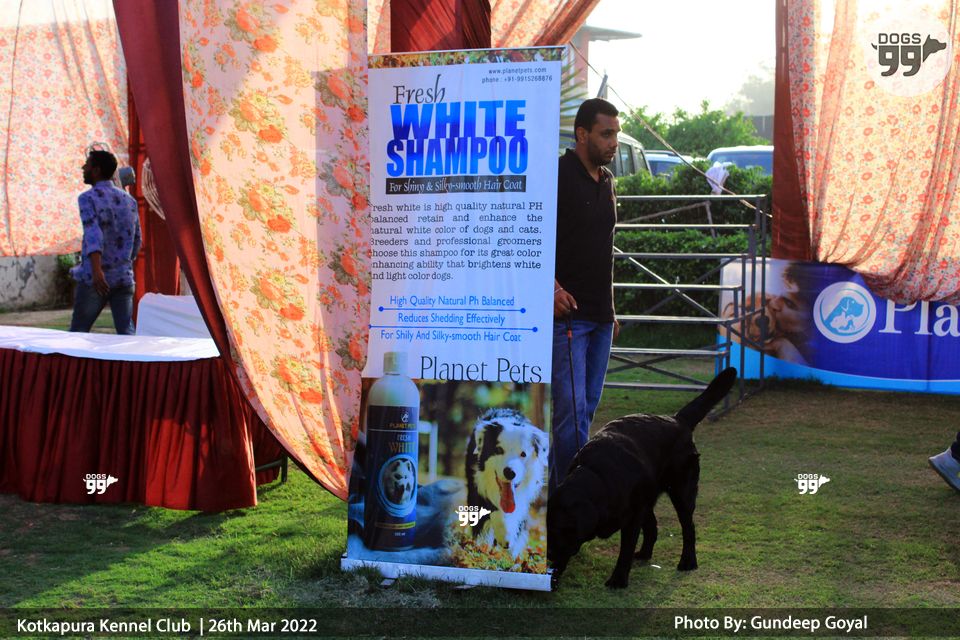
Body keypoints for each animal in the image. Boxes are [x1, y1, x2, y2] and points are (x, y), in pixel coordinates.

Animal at [465, 408, 549, 558]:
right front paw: (503, 536)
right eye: (498, 450)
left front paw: (509, 537)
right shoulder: (478, 487)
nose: (510, 472)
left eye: (523, 454)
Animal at [547, 367, 737, 588]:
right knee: (653, 527)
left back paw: (688, 561)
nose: (547, 555)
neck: (597, 477)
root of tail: (677, 419)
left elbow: (626, 549)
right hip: (648, 497)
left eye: (559, 530)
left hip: (682, 491)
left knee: (688, 527)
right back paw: (645, 553)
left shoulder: (631, 517)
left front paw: (618, 579)